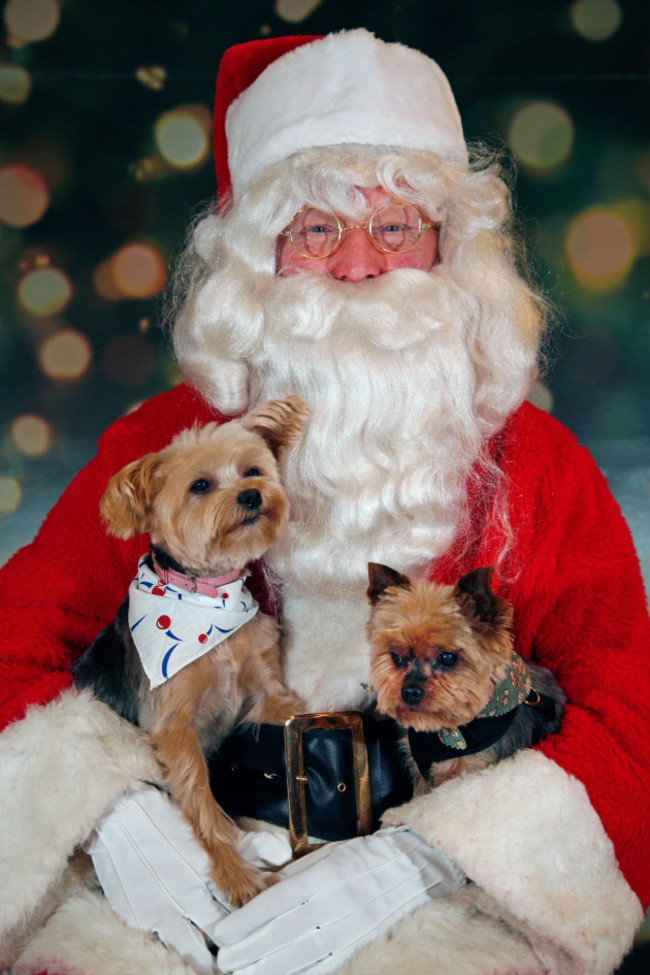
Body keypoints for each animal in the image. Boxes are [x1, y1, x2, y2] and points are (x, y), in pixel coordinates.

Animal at [74, 396, 308, 908]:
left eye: (252, 470)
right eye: (200, 485)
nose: (252, 495)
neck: (205, 597)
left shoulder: (265, 684)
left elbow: (284, 715)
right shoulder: (173, 728)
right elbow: (199, 795)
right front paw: (235, 874)